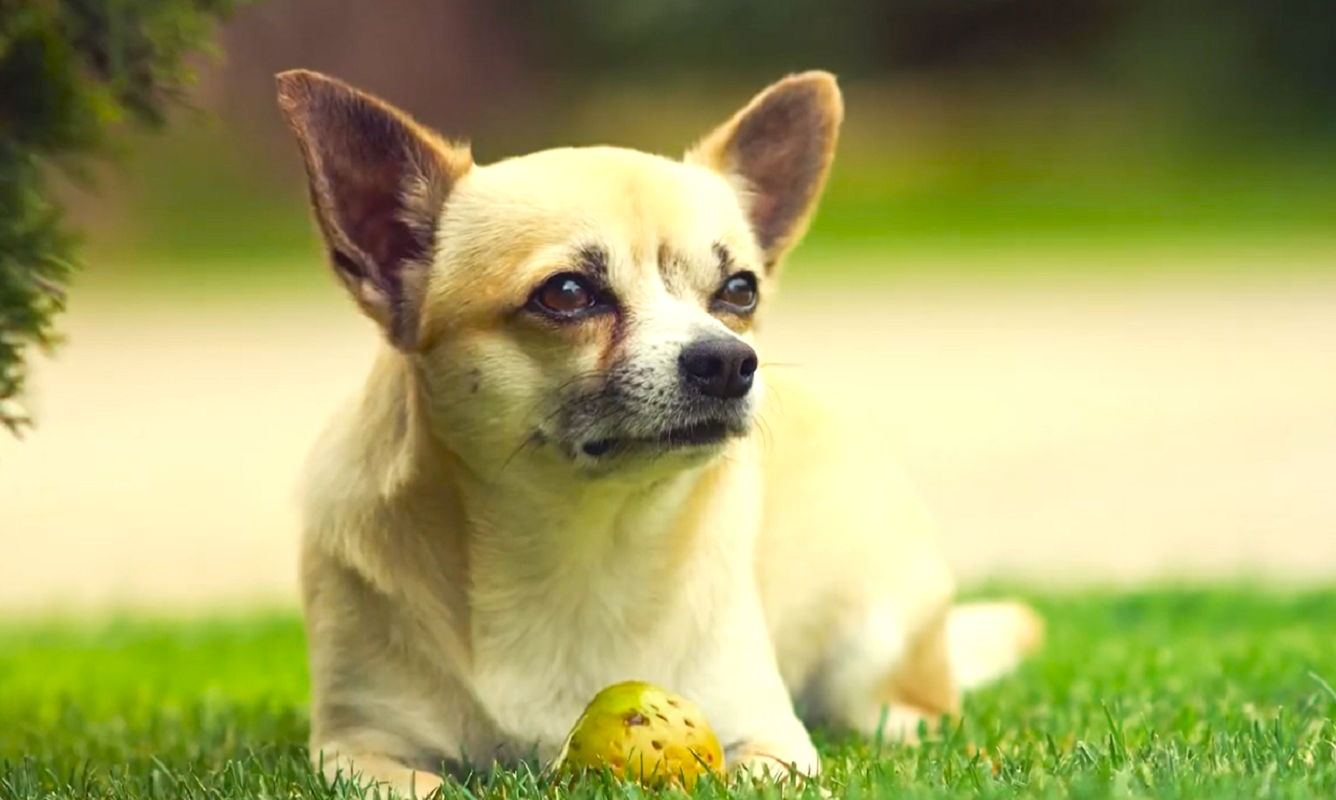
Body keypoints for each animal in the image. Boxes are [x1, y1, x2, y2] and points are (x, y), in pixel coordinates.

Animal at [273, 70, 1042, 800]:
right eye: (566, 293)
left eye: (740, 290)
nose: (730, 360)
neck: (578, 548)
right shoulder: (356, 749)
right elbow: (417, 783)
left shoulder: (771, 740)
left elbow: (751, 771)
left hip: (874, 643)